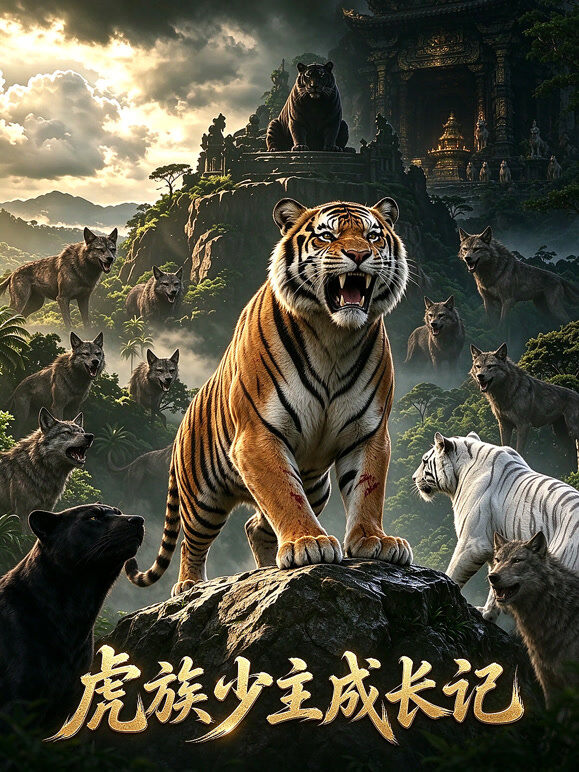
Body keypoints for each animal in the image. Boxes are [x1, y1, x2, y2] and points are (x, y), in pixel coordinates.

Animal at [126, 197, 413, 596]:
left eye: (373, 236)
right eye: (327, 236)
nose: (359, 254)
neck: (334, 337)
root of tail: (180, 427)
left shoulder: (368, 432)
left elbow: (367, 489)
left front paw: (374, 541)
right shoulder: (258, 435)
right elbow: (285, 494)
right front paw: (309, 542)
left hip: (316, 486)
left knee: (256, 525)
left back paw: (267, 568)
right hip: (202, 499)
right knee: (191, 542)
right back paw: (189, 585)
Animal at [412, 431, 579, 622]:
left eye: (424, 461)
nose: (414, 478)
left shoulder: (473, 542)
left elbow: (453, 572)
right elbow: (496, 581)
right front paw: (487, 613)